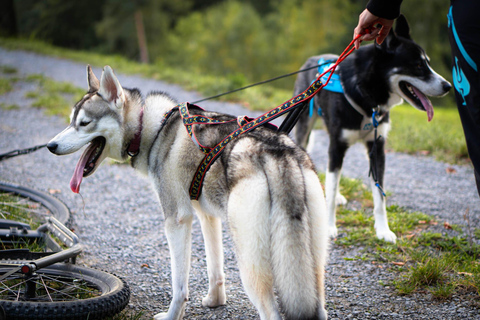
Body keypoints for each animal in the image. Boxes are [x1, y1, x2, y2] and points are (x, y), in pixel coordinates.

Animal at [47, 65, 330, 320]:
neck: (152, 128)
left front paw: (172, 315)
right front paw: (215, 301)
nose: (50, 145)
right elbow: (215, 269)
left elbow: (179, 285)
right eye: (71, 121)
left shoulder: (177, 220)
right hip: (310, 271)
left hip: (252, 267)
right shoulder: (207, 216)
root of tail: (278, 153)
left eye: (84, 123)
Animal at [290, 13, 452, 241]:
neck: (366, 95)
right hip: (304, 127)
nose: (448, 86)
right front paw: (329, 226)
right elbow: (331, 186)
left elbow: (379, 196)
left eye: (427, 63)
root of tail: (312, 60)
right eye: (418, 65)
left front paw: (383, 230)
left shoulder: (377, 148)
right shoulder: (337, 145)